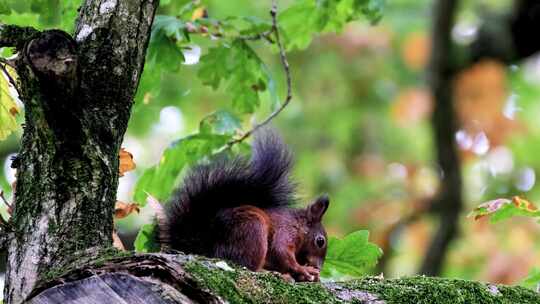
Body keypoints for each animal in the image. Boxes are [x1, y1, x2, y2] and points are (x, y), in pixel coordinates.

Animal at [158, 129, 330, 282]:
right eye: (320, 241)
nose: (319, 267)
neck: (298, 224)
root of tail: (208, 245)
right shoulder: (286, 230)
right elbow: (281, 251)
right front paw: (304, 269)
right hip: (253, 229)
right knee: (247, 265)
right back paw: (269, 272)